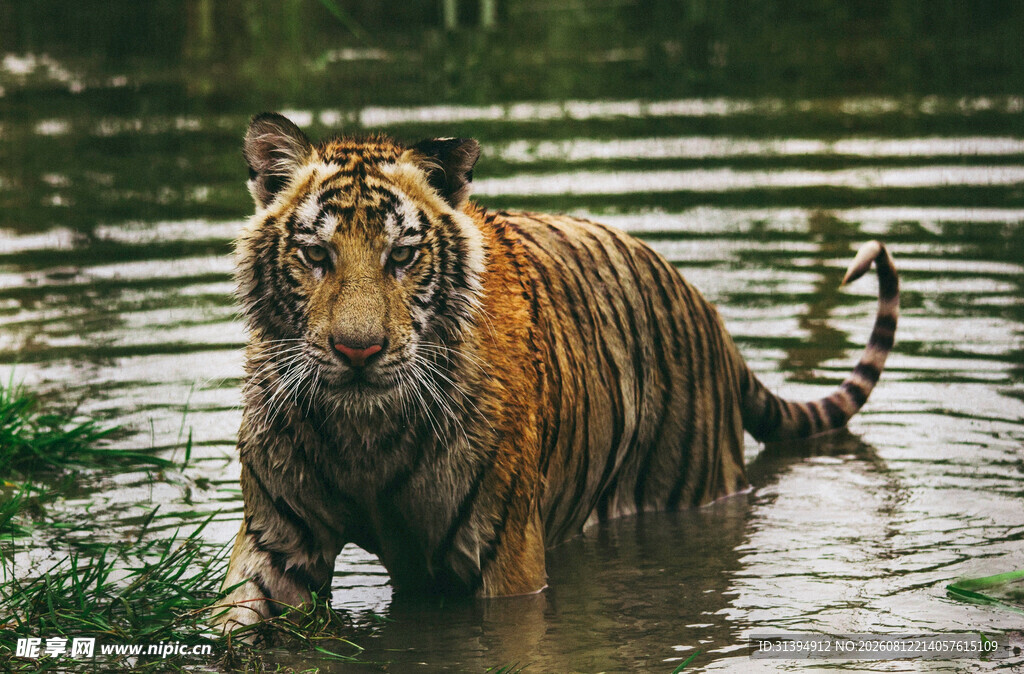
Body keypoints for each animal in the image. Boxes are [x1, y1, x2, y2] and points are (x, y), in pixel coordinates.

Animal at [214, 112, 899, 631]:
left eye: (402, 256)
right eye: (316, 254)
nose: (359, 352)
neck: (364, 436)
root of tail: (710, 315)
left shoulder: (503, 557)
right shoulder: (277, 541)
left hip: (691, 488)